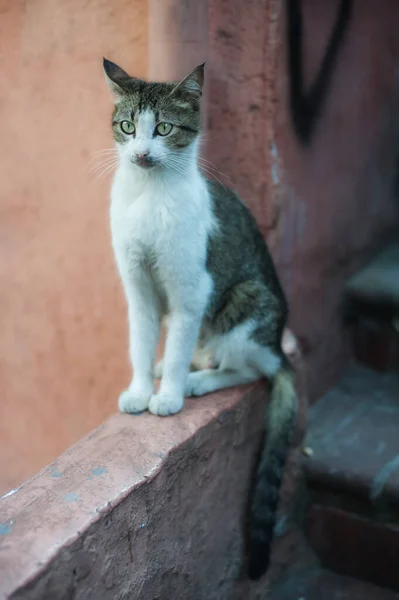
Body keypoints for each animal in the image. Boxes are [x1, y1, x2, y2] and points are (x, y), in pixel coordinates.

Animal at [103, 58, 296, 580]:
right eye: (128, 127)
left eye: (164, 129)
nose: (142, 152)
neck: (148, 197)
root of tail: (278, 341)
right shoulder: (138, 287)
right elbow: (140, 340)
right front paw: (139, 388)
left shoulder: (192, 289)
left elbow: (178, 348)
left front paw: (166, 397)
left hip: (244, 305)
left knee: (250, 370)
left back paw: (196, 381)